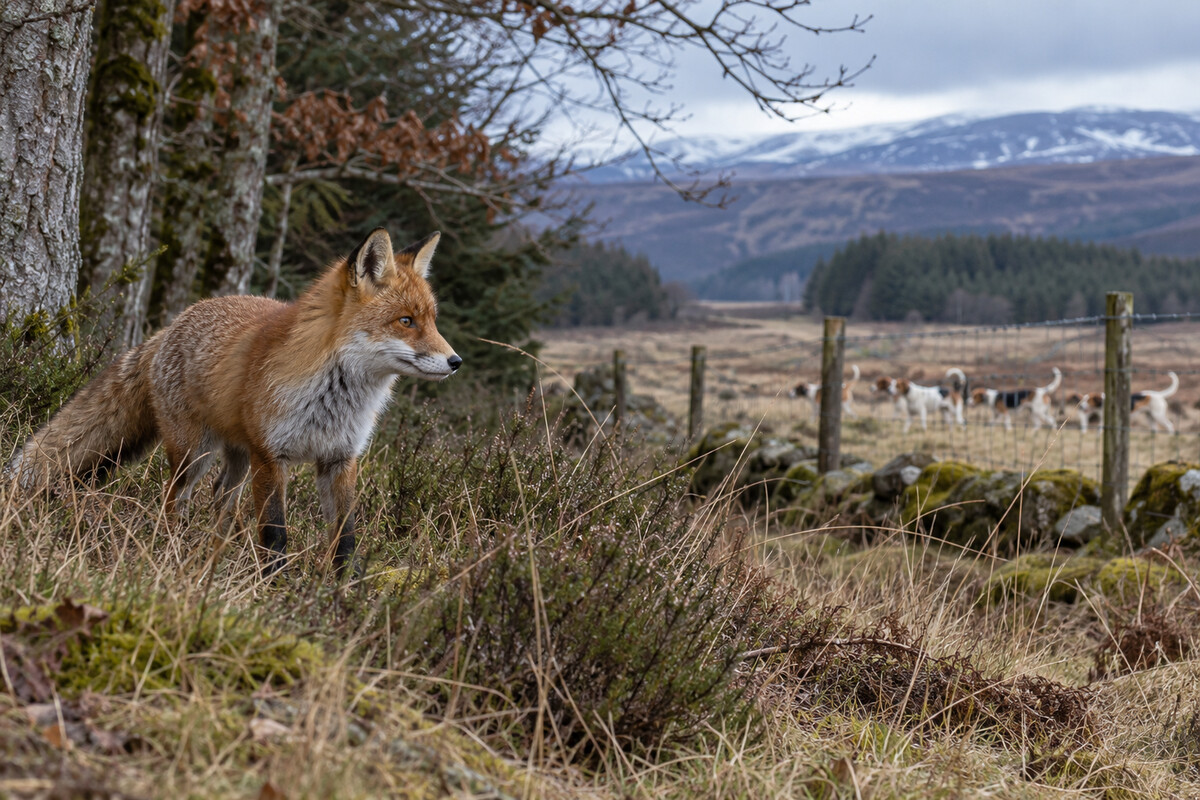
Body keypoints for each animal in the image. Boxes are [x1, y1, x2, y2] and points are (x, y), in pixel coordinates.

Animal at [7, 227, 460, 577]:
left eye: (433, 320)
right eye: (406, 321)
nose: (455, 361)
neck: (332, 399)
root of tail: (171, 326)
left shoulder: (340, 459)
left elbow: (345, 538)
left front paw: (344, 593)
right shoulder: (270, 456)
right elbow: (275, 533)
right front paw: (278, 588)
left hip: (236, 461)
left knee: (220, 501)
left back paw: (216, 553)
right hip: (195, 454)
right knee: (174, 499)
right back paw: (175, 551)